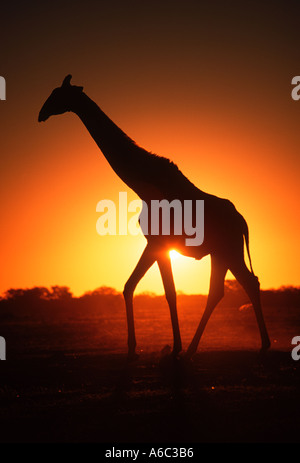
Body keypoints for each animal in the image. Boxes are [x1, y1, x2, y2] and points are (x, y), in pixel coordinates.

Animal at [38, 74, 270, 360]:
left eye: (57, 94)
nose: (41, 114)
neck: (142, 184)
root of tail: (243, 222)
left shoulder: (160, 242)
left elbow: (169, 292)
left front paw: (173, 348)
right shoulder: (153, 242)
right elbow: (130, 286)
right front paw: (133, 348)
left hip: (229, 249)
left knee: (243, 284)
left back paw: (249, 345)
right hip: (221, 252)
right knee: (226, 289)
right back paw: (201, 348)